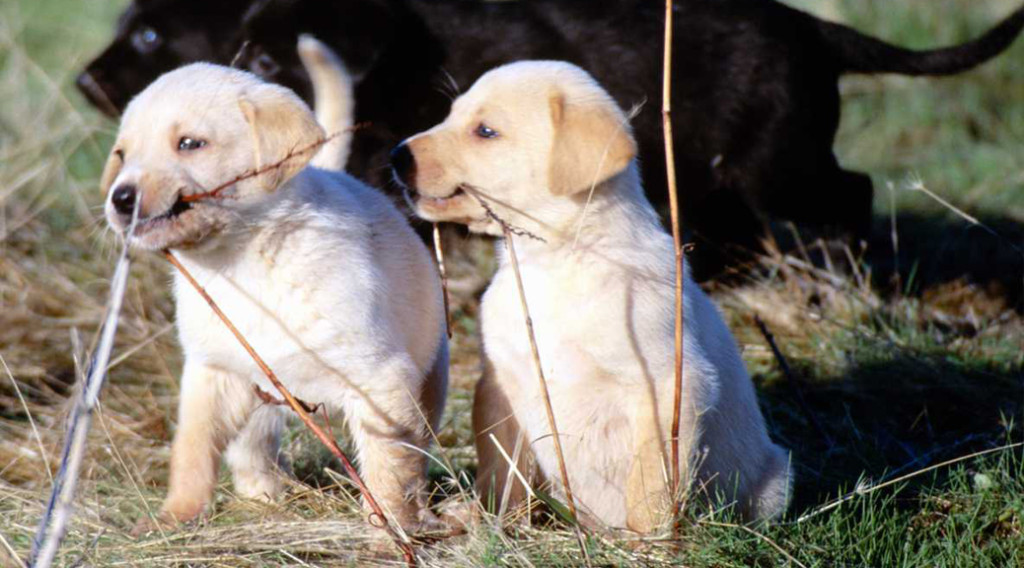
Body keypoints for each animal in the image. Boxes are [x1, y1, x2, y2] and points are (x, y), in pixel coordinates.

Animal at [74, 0, 1024, 276]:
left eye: (153, 38)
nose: (86, 79)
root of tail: (815, 28)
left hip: (774, 163)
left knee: (850, 192)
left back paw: (847, 277)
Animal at [102, 62, 448, 532]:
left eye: (189, 143)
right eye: (121, 155)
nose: (121, 199)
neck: (244, 258)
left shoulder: (382, 381)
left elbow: (389, 469)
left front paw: (392, 530)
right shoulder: (210, 374)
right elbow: (191, 451)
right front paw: (176, 516)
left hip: (432, 378)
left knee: (420, 445)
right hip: (258, 397)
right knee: (252, 451)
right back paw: (263, 500)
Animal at [391, 60, 790, 532]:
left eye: (485, 131)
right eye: (451, 115)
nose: (396, 155)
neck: (557, 261)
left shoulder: (669, 385)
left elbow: (650, 482)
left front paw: (649, 541)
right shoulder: (500, 383)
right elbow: (501, 470)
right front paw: (490, 520)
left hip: (775, 480)